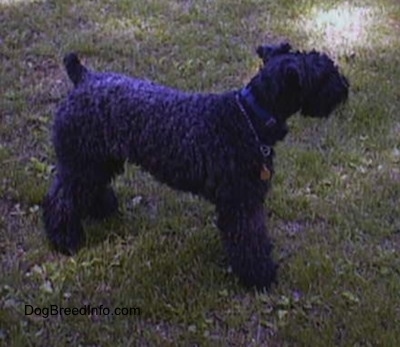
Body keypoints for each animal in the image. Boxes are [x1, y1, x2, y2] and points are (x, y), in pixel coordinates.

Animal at [43, 43, 348, 290]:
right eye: (323, 72)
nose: (345, 85)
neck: (249, 116)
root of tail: (83, 78)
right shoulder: (242, 203)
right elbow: (251, 239)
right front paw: (260, 276)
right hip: (81, 163)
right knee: (61, 198)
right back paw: (65, 239)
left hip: (98, 162)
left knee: (88, 188)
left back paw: (101, 210)